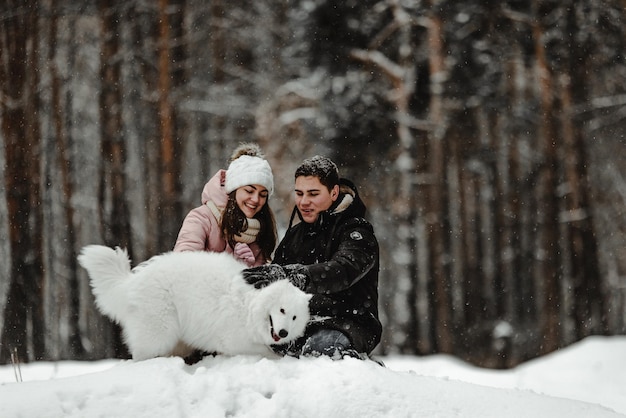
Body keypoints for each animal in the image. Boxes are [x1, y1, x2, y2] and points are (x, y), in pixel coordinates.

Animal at [78, 245, 312, 360]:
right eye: (281, 310)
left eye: (294, 317)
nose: (283, 333)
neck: (249, 301)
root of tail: (133, 281)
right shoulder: (233, 340)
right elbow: (263, 351)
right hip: (160, 332)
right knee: (141, 354)